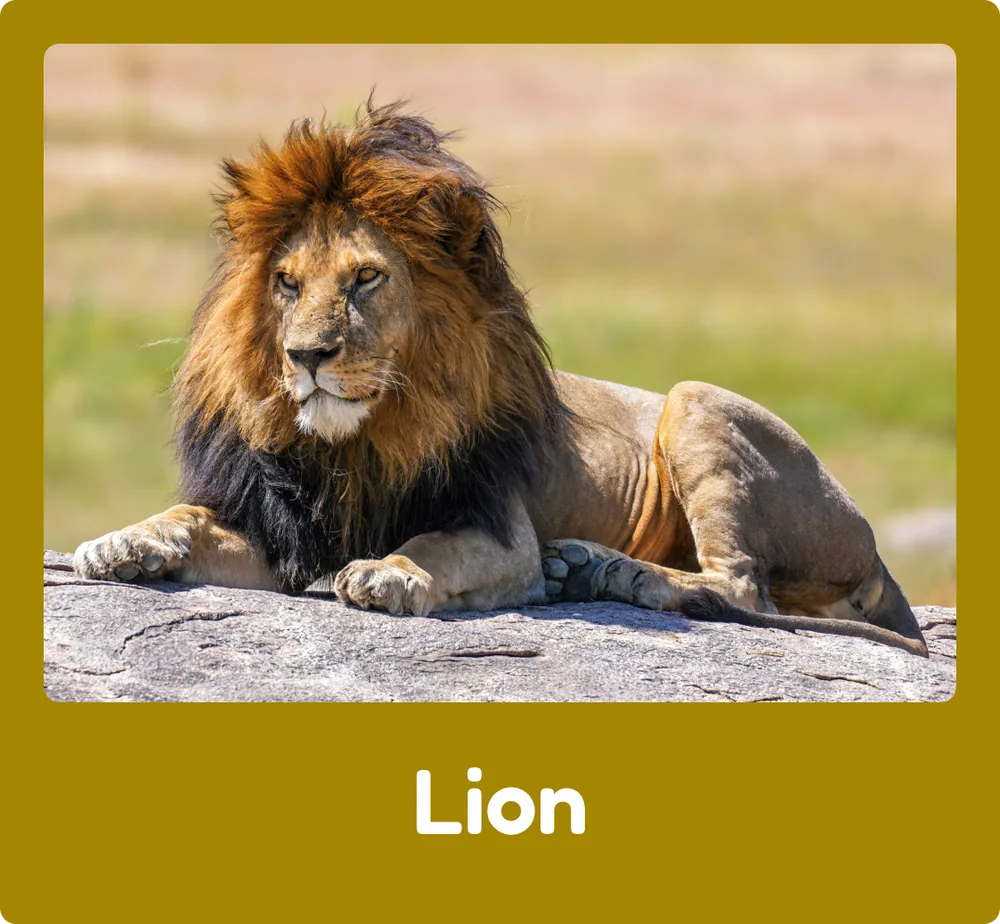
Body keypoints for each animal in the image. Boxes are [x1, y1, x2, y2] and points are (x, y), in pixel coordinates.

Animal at [73, 101, 928, 658]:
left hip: (696, 403)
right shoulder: (283, 533)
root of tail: (873, 546)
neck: (359, 444)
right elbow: (187, 516)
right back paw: (584, 567)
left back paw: (605, 570)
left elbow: (432, 546)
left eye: (365, 279)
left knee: (741, 588)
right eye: (286, 284)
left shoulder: (498, 528)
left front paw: (390, 572)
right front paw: (124, 542)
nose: (306, 356)